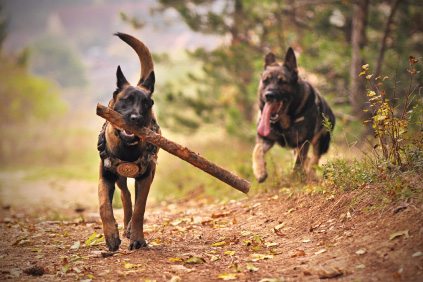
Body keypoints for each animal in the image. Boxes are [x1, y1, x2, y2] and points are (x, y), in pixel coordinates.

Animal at [97, 33, 161, 251]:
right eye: (126, 100)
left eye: (146, 104)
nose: (136, 118)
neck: (127, 148)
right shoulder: (106, 176)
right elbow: (104, 206)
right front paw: (111, 235)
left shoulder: (146, 178)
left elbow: (140, 209)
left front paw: (138, 238)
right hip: (118, 177)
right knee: (125, 195)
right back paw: (124, 227)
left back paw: (130, 228)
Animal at [253, 48, 336, 183]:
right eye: (266, 81)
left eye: (282, 82)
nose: (268, 95)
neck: (283, 121)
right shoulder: (265, 139)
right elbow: (256, 150)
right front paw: (260, 171)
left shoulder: (303, 143)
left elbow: (297, 164)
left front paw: (294, 180)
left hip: (320, 143)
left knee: (314, 159)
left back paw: (310, 174)